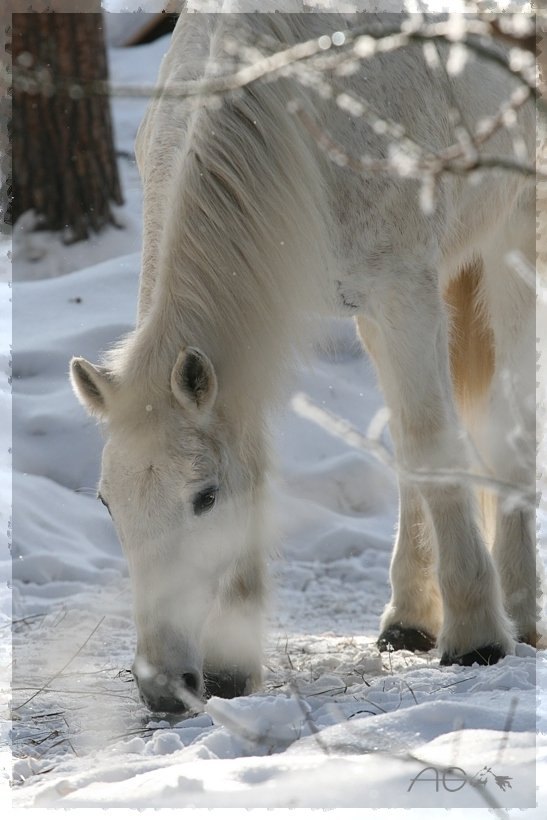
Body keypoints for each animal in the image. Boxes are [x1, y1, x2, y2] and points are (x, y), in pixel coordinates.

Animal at [70, 12, 536, 716]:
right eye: (107, 503)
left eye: (204, 498)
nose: (163, 688)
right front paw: (232, 670)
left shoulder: (404, 294)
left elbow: (432, 441)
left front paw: (478, 636)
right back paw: (409, 618)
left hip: (512, 239)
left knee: (507, 416)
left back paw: (521, 613)